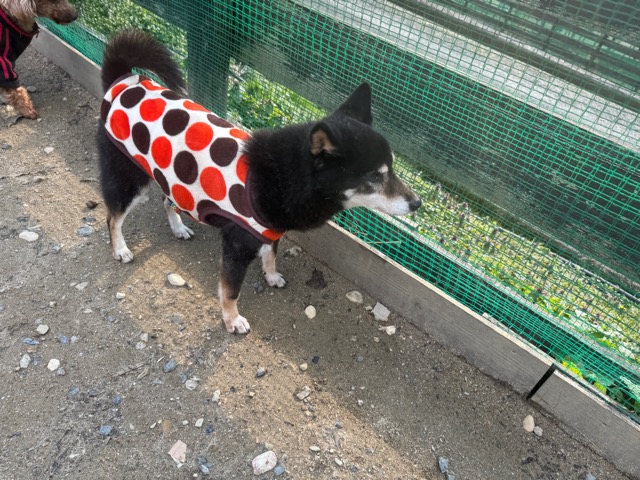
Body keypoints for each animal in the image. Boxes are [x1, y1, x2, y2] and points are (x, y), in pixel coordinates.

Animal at [98, 29, 421, 334]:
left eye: (392, 168)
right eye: (375, 176)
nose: (417, 203)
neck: (283, 177)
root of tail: (124, 80)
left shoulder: (270, 229)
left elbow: (271, 255)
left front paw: (271, 275)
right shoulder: (237, 245)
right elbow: (230, 290)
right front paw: (232, 320)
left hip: (171, 176)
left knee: (168, 200)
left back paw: (178, 227)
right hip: (130, 179)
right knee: (113, 218)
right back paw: (120, 249)